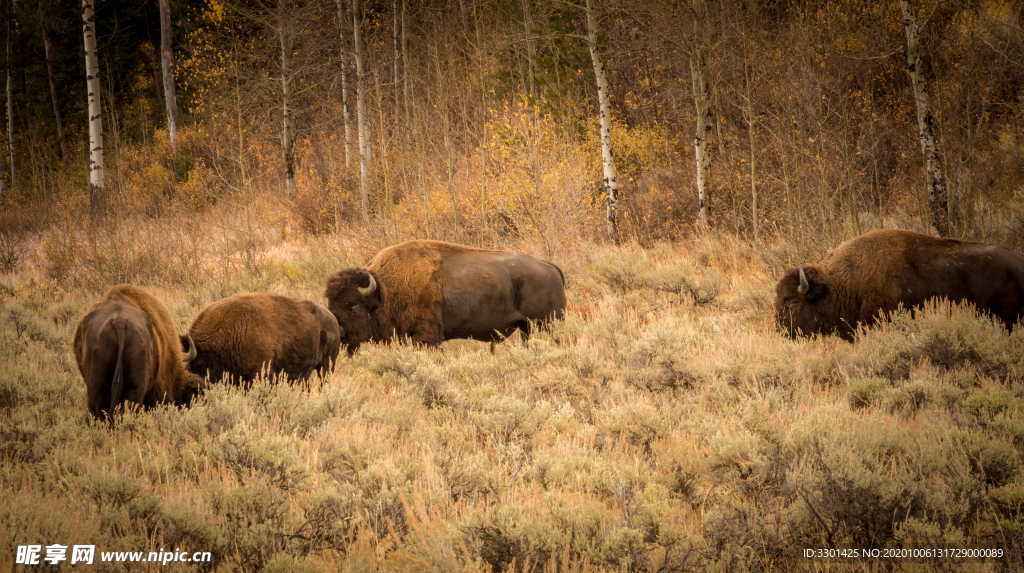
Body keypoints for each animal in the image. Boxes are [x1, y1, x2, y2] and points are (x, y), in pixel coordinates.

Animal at [325, 239, 569, 351]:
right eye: (330, 303)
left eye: (352, 304)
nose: (338, 332)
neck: (385, 289)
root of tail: (549, 267)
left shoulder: (427, 337)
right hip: (528, 327)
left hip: (547, 323)